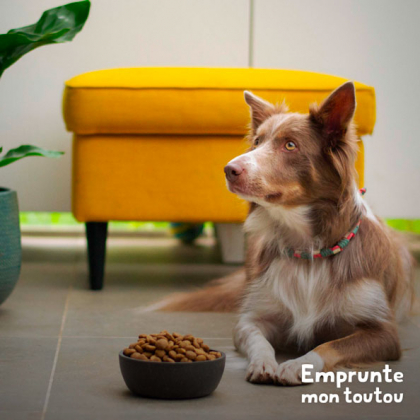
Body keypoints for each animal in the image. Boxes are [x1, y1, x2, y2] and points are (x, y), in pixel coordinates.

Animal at [153, 80, 416, 386]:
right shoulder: (252, 318)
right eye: (257, 142)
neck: (308, 248)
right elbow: (258, 339)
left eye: (290, 145)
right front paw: (264, 363)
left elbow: (329, 345)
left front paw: (298, 365)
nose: (229, 170)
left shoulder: (384, 333)